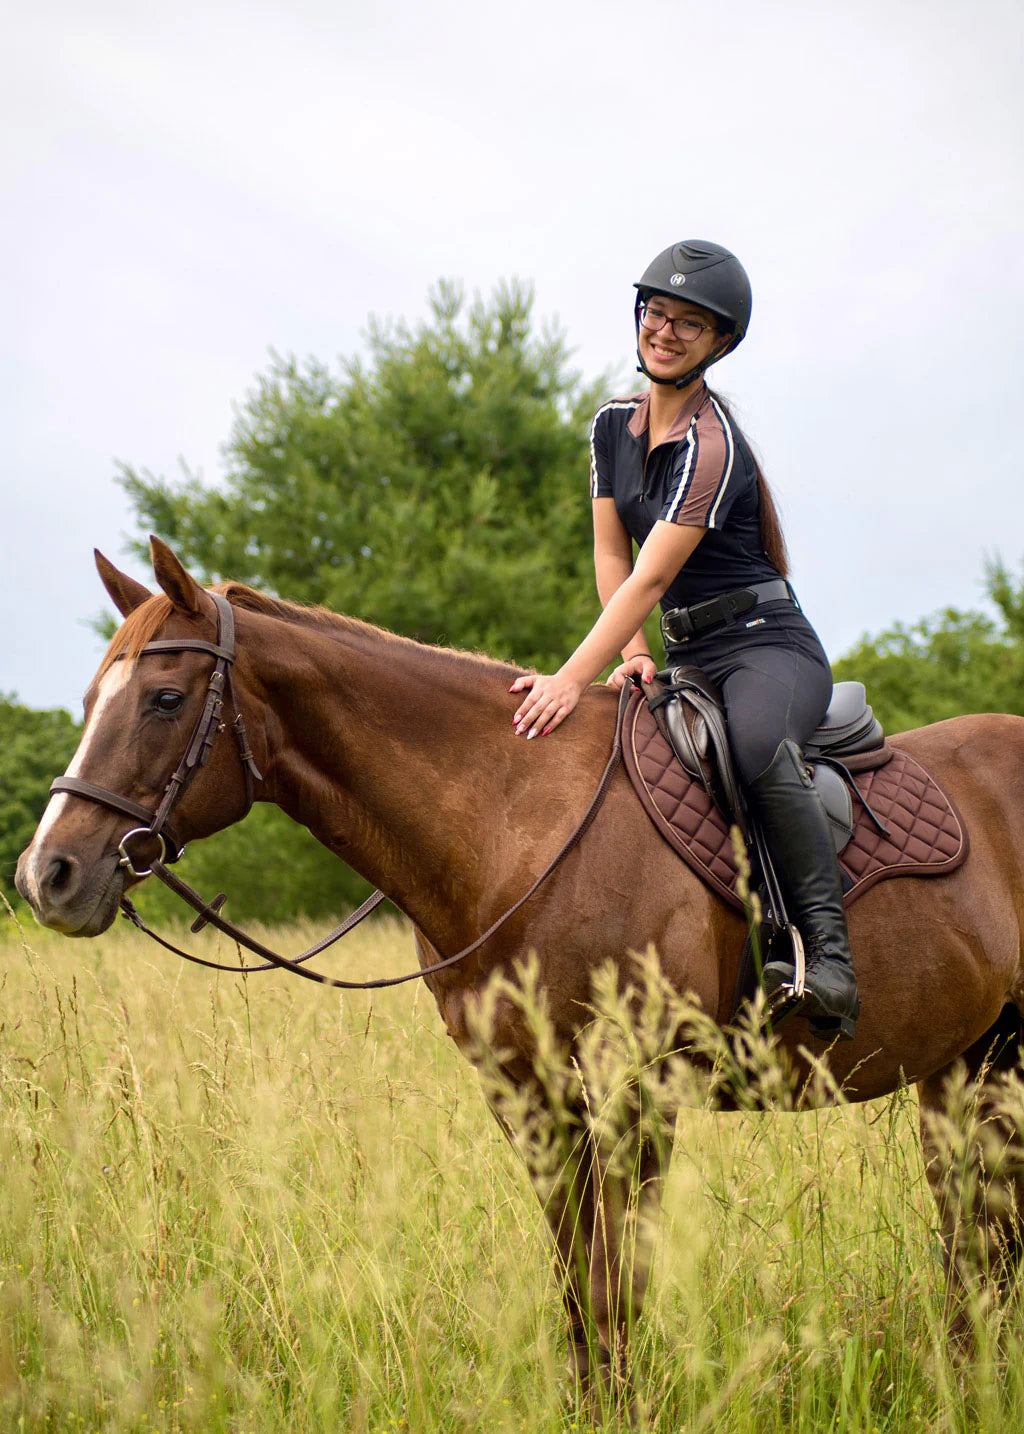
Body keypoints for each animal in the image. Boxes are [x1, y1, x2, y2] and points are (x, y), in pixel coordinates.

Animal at [15, 538, 1024, 1392]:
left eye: (164, 700)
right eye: (90, 702)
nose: (48, 874)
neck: (515, 821)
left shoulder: (632, 1084)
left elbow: (617, 1285)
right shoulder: (524, 1089)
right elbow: (578, 1286)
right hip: (962, 1067)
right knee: (976, 1246)